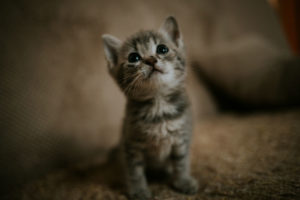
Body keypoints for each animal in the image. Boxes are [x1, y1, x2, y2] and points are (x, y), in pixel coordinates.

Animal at [102, 16, 198, 199]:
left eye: (162, 49)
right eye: (133, 57)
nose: (151, 60)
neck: (159, 106)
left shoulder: (181, 137)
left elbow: (181, 161)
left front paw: (183, 181)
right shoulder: (131, 143)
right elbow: (134, 170)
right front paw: (139, 190)